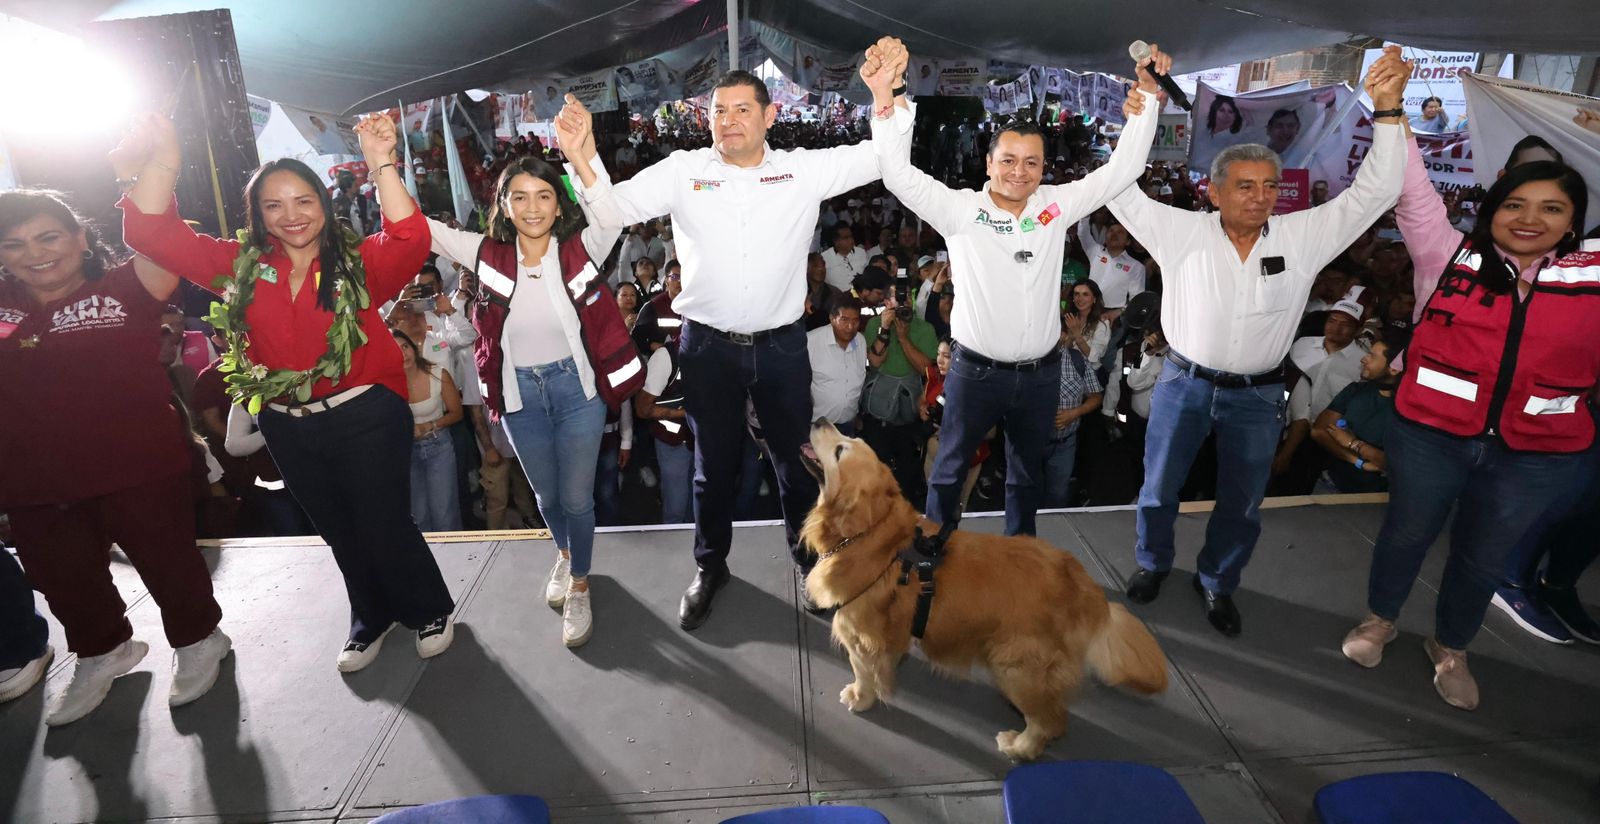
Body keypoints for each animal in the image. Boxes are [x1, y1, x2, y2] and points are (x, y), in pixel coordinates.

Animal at [796, 419, 1164, 761]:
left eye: (841, 450)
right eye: (850, 438)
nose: (819, 420)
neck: (869, 534)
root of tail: (1080, 582)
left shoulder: (861, 637)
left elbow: (863, 672)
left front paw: (860, 697)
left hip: (1014, 668)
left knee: (1049, 721)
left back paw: (1019, 746)